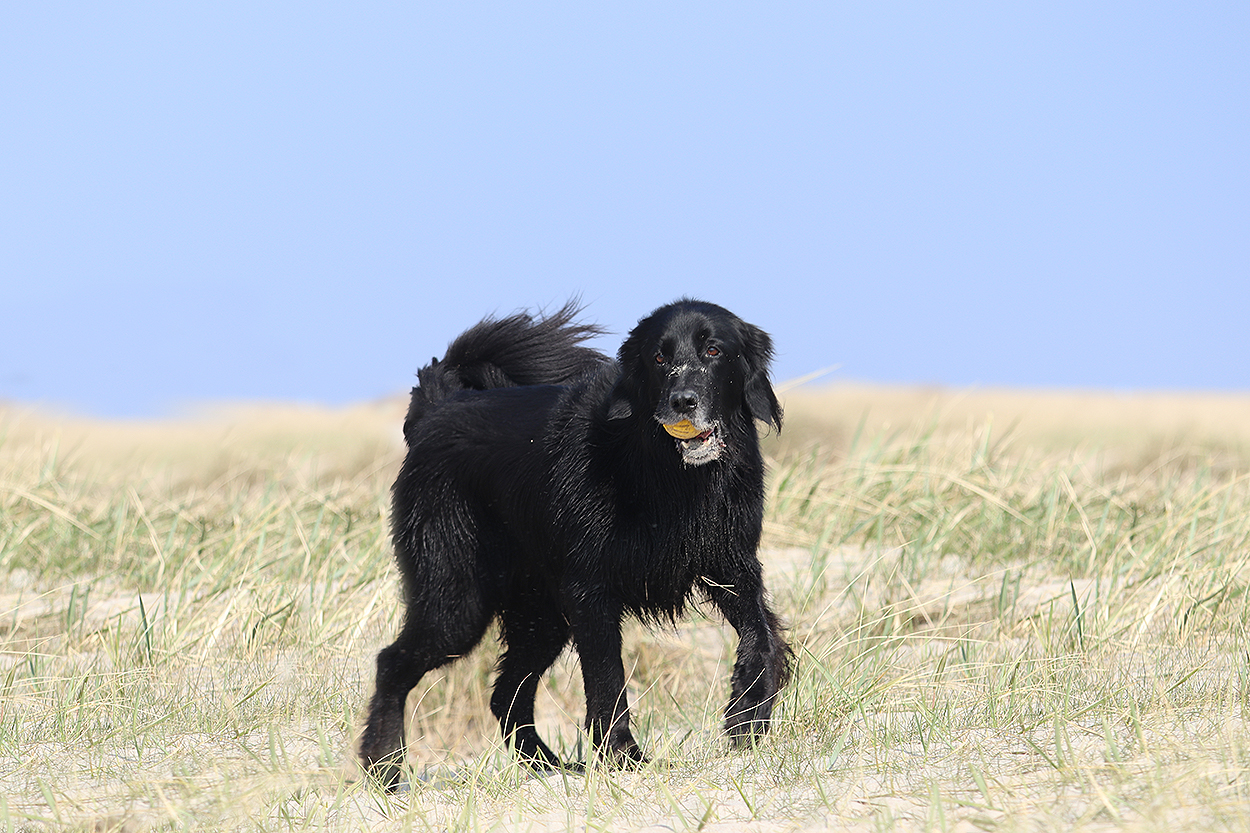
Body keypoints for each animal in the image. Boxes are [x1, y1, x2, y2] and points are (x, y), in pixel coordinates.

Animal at [359, 299, 791, 788]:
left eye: (714, 350)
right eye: (658, 358)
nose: (682, 401)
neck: (668, 474)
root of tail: (437, 407)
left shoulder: (734, 567)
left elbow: (762, 636)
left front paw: (747, 717)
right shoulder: (589, 592)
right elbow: (606, 677)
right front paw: (624, 757)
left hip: (540, 616)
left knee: (506, 694)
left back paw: (549, 767)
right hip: (457, 602)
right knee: (392, 664)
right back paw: (384, 766)